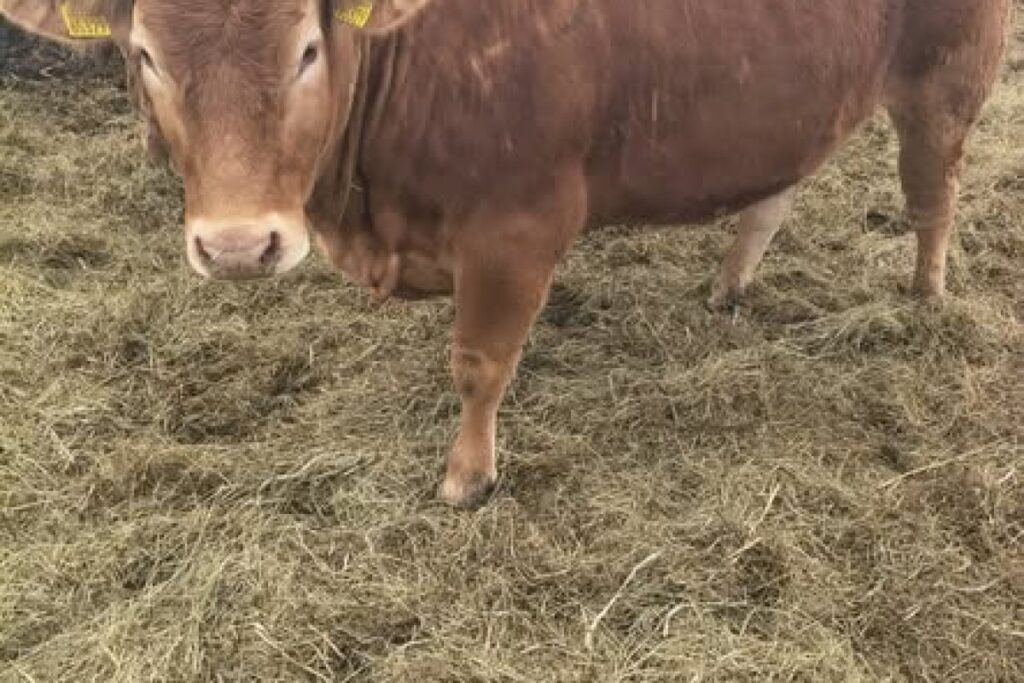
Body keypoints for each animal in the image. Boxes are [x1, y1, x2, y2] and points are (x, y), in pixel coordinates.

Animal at [2, 0, 1010, 507]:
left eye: (305, 49)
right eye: (145, 53)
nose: (241, 245)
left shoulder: (517, 230)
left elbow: (480, 363)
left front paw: (468, 477)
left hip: (948, 77)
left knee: (934, 192)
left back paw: (927, 296)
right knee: (775, 191)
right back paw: (729, 285)